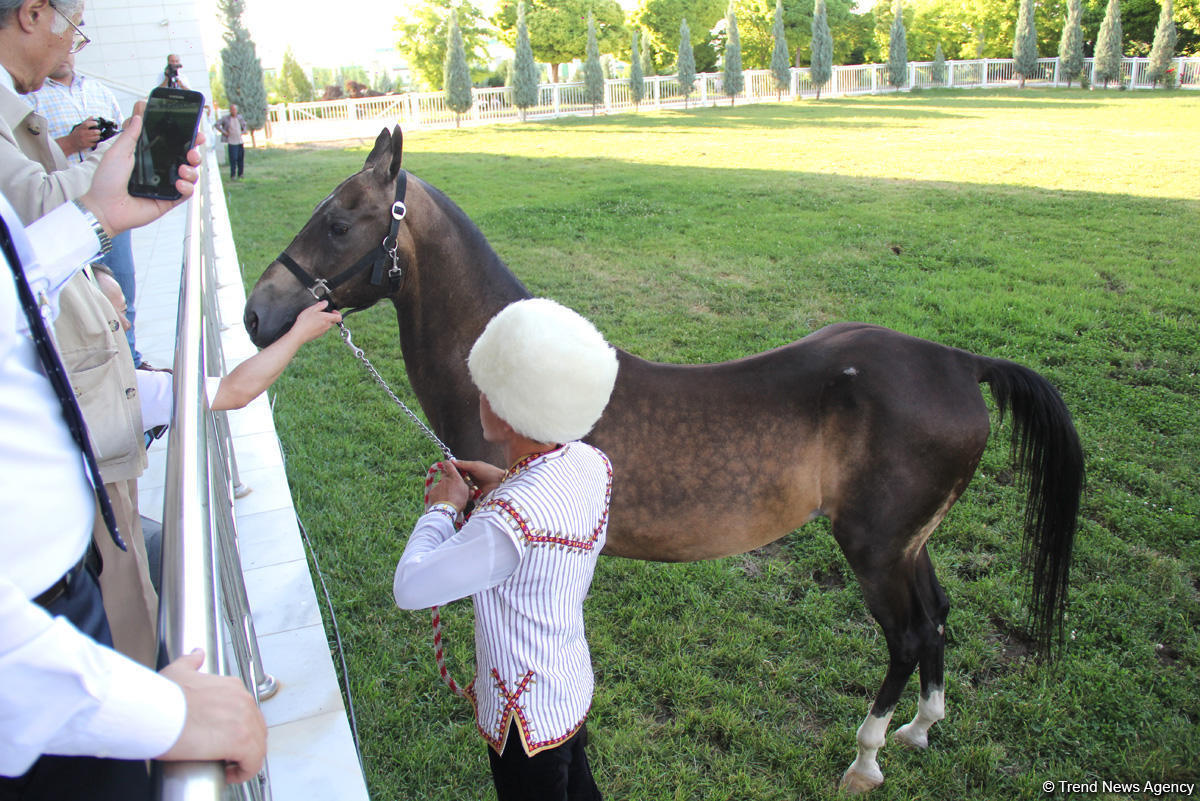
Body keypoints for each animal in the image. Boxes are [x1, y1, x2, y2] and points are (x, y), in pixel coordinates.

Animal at [243, 126, 1089, 796]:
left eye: (339, 220)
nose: (257, 314)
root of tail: (961, 361)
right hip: (909, 542)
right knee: (937, 616)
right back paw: (920, 728)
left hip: (875, 548)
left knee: (908, 636)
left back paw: (867, 756)